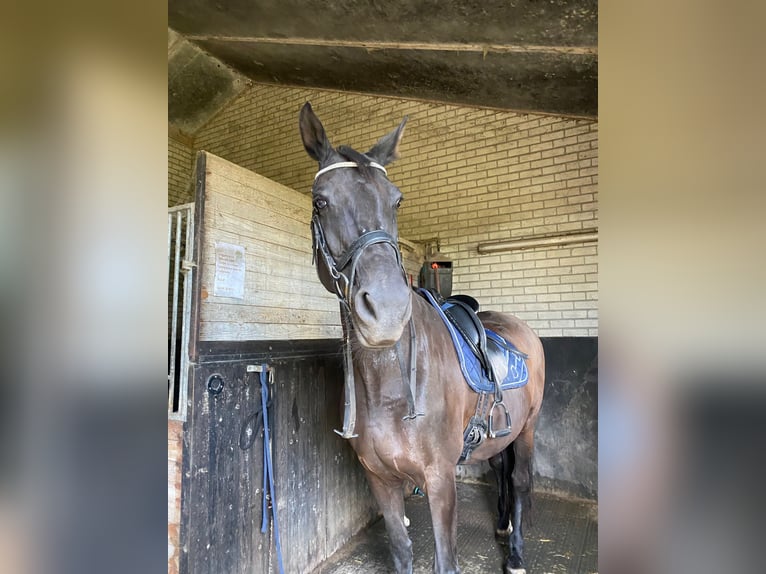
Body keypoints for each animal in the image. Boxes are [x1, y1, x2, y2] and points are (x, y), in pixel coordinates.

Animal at [299, 102, 545, 574]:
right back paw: (502, 527)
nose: (387, 311)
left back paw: (517, 553)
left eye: (397, 200)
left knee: (521, 480)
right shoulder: (380, 480)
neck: (390, 388)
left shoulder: (440, 480)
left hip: (528, 427)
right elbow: (400, 550)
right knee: (500, 470)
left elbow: (444, 560)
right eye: (321, 202)